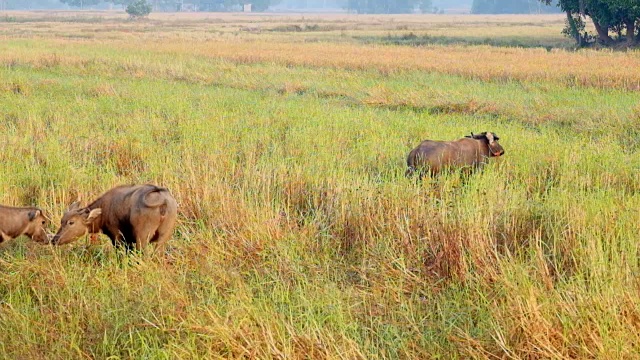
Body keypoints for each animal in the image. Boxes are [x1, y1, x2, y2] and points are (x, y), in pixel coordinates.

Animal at [50, 184, 178, 255]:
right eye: (61, 221)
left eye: (71, 222)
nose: (54, 239)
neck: (104, 209)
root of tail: (162, 199)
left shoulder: (117, 237)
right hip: (164, 236)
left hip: (142, 238)